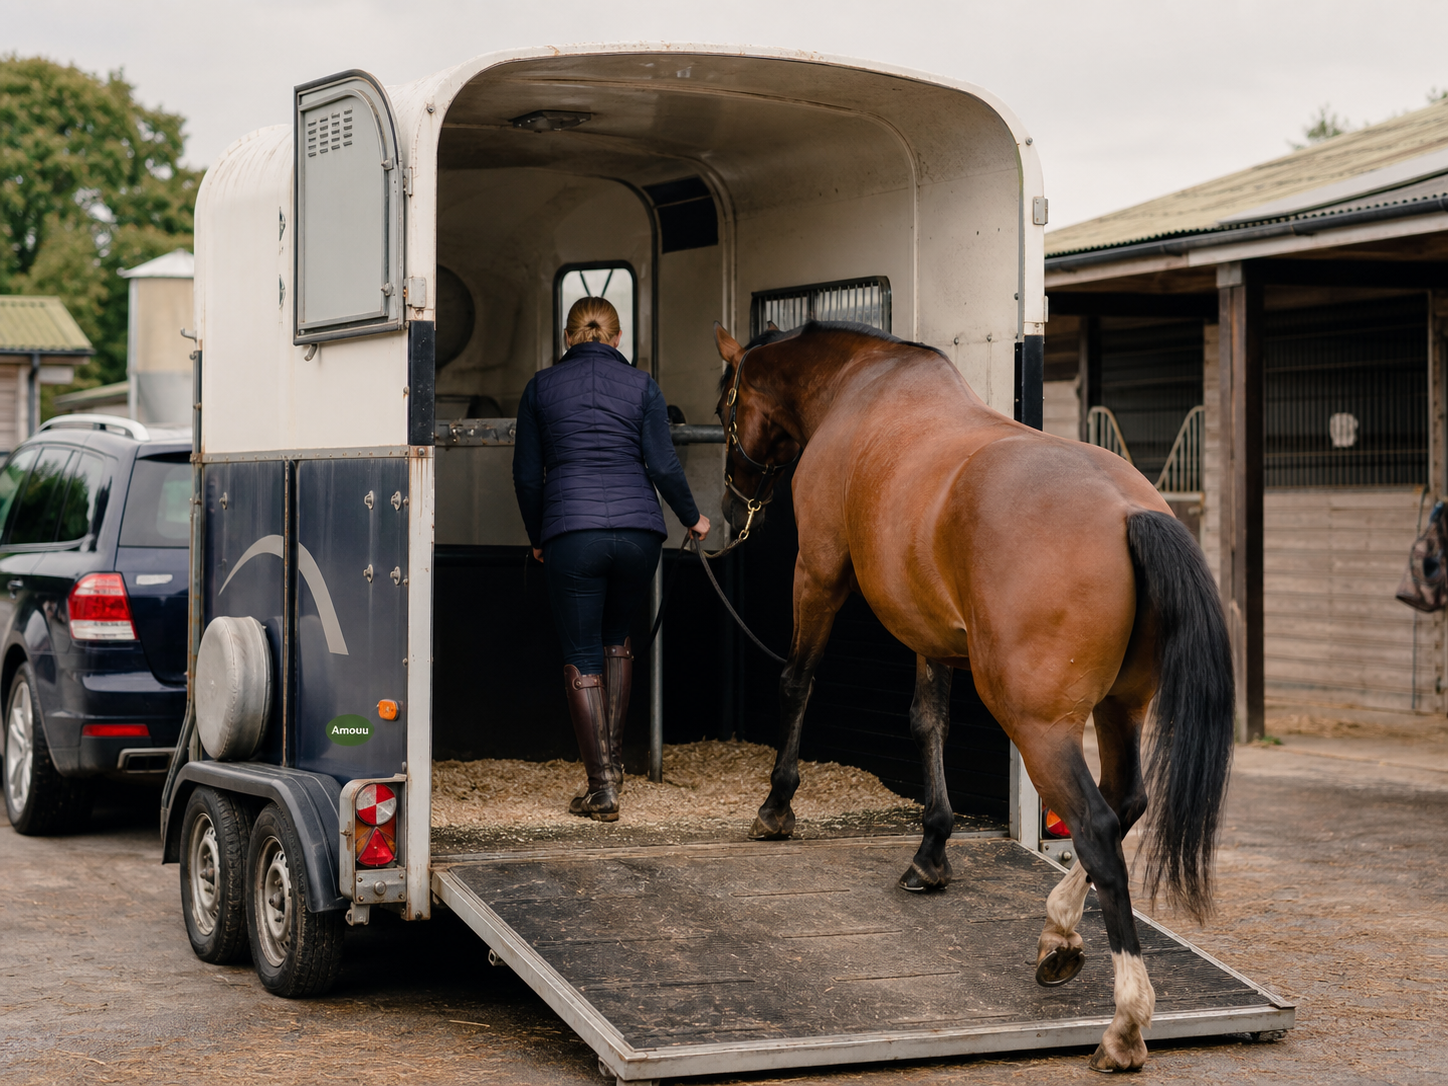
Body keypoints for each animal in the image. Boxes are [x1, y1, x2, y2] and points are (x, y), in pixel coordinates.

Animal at [712, 319, 1235, 1073]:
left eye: (726, 403)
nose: (731, 505)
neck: (859, 390)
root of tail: (1129, 511)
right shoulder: (929, 626)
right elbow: (928, 721)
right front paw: (932, 850)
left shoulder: (819, 570)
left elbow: (798, 681)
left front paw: (776, 806)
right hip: (1120, 709)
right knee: (1127, 802)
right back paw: (1058, 935)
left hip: (1039, 725)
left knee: (1099, 827)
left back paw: (1125, 1022)